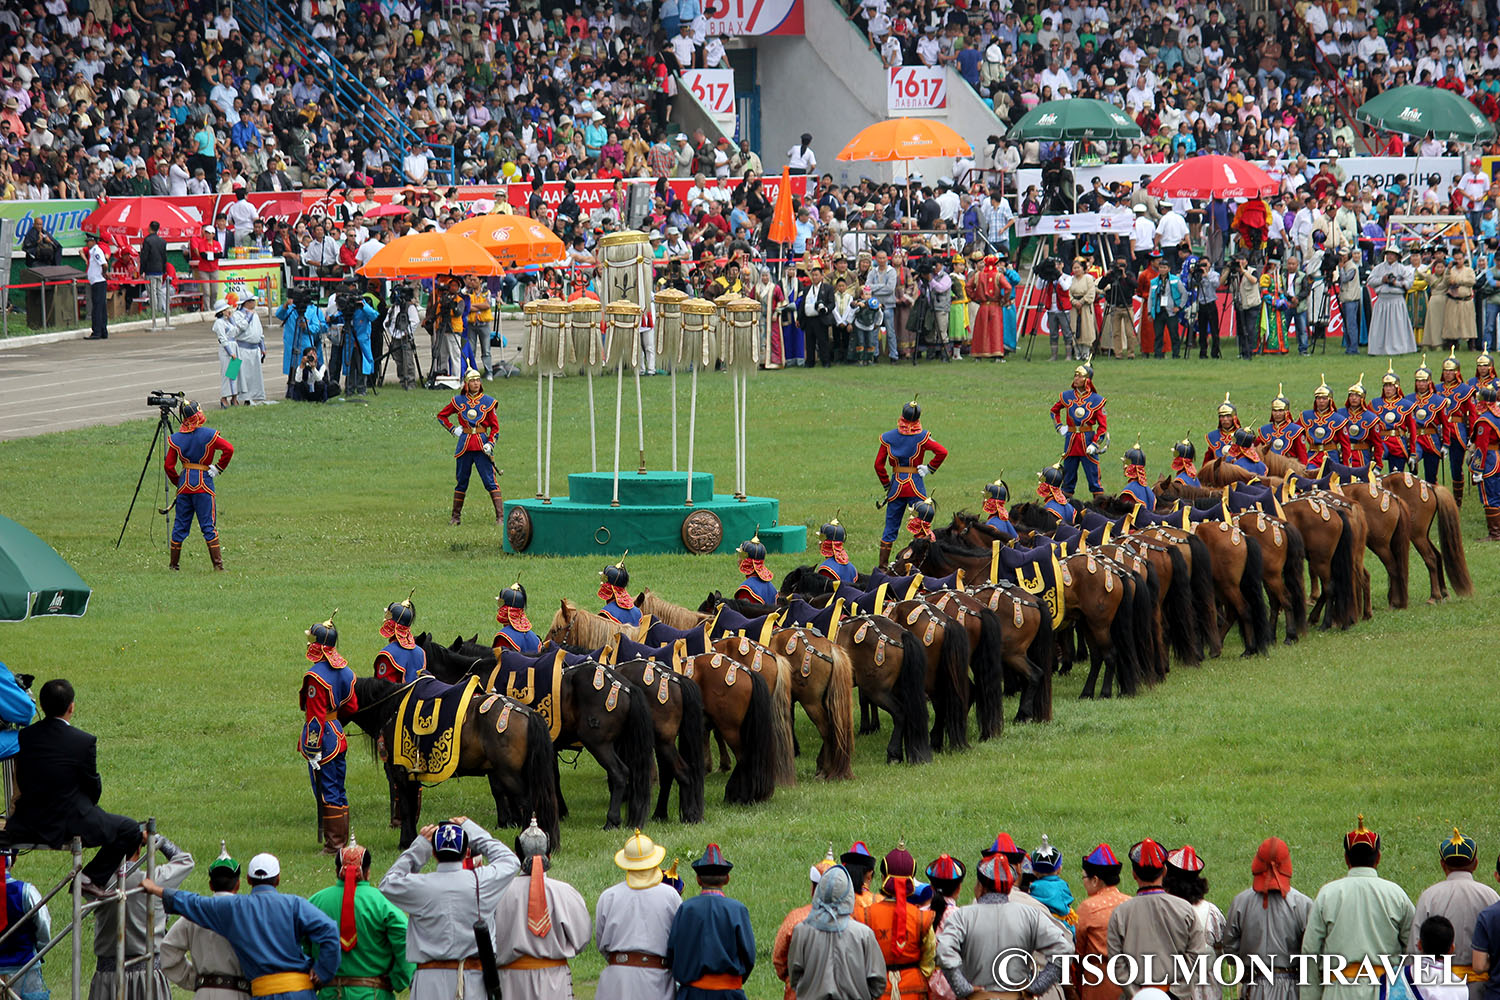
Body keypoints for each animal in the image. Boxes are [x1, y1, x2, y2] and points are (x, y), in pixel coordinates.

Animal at [1374, 470, 1470, 602]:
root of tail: (1430, 486)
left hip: (1417, 535)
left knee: (1430, 558)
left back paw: (1434, 596)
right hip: (1424, 535)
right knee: (1437, 555)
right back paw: (1443, 592)